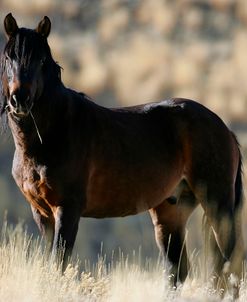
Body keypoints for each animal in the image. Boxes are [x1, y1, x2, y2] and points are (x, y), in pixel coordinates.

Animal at [0, 12, 244, 286]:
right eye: (8, 57)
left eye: (41, 59)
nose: (19, 100)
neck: (54, 132)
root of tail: (224, 129)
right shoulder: (41, 213)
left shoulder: (67, 210)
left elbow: (58, 265)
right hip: (171, 211)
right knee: (177, 269)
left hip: (218, 204)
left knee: (230, 264)